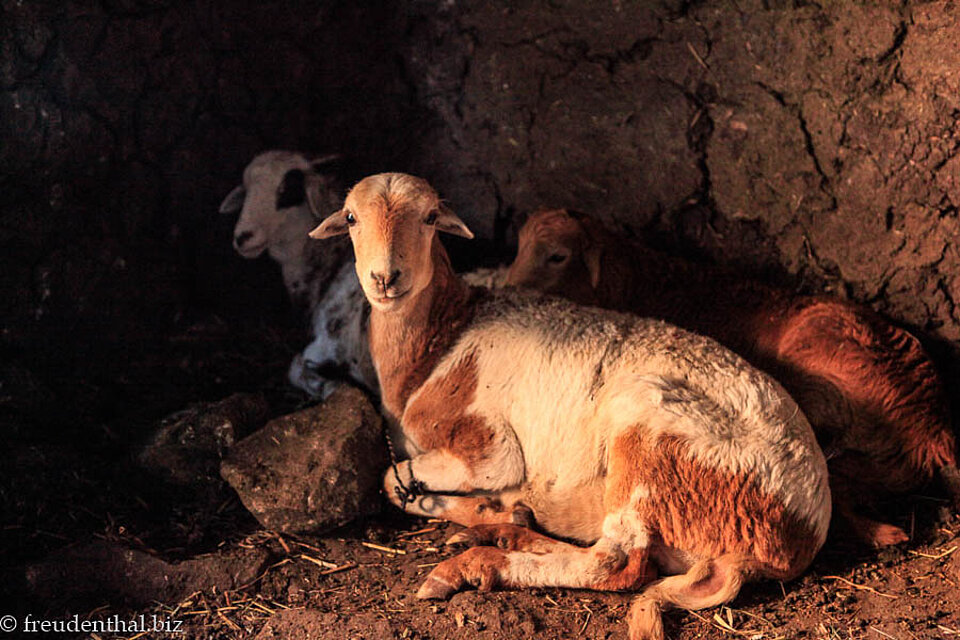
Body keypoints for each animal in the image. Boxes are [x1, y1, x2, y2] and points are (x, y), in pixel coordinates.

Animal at [310, 173, 831, 640]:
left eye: (431, 217)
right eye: (352, 218)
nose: (385, 278)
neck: (441, 342)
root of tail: (800, 529)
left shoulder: (490, 448)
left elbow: (390, 480)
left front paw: (482, 513)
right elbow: (397, 484)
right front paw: (493, 513)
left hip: (650, 437)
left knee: (618, 563)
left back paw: (476, 563)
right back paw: (510, 527)